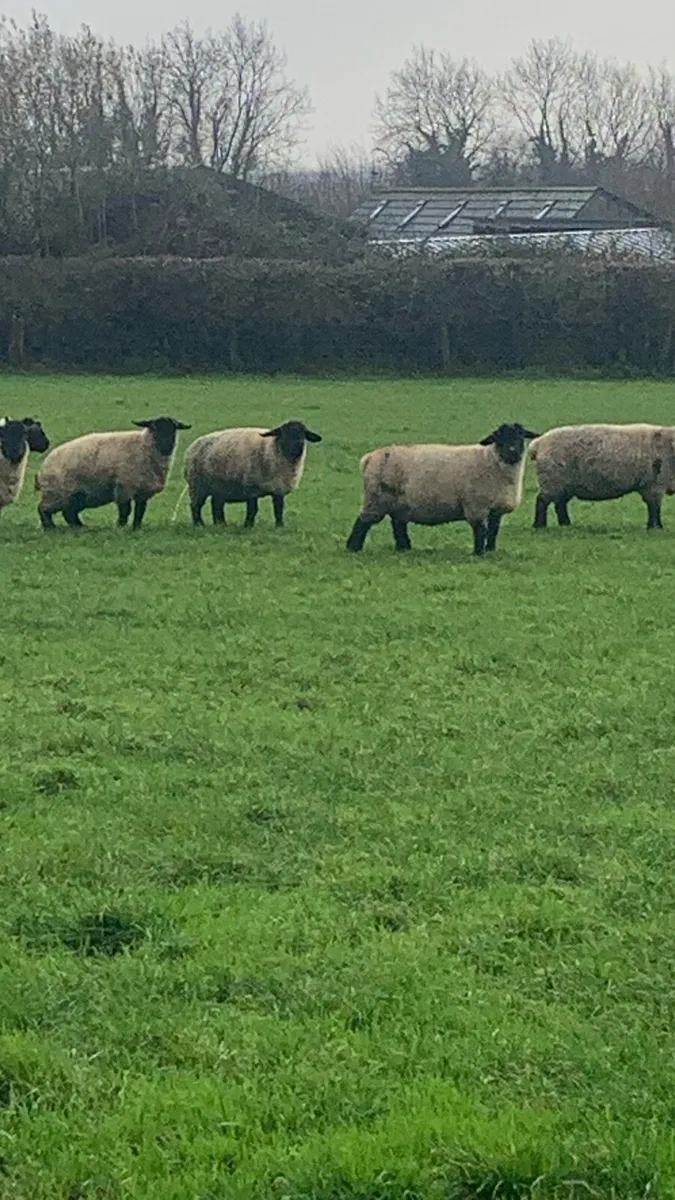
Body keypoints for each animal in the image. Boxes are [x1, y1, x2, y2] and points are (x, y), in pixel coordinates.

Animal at [36, 416, 190, 530]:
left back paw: (80, 528)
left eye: (174, 429)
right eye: (155, 428)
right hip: (56, 493)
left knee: (69, 512)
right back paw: (50, 528)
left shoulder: (143, 491)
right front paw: (120, 527)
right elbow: (125, 510)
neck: (144, 446)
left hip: (78, 495)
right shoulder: (124, 487)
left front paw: (137, 527)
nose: (167, 447)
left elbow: (140, 511)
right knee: (44, 509)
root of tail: (45, 464)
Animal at [183, 420, 322, 529]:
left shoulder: (278, 488)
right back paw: (199, 525)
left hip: (218, 487)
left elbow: (279, 509)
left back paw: (221, 525)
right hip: (197, 485)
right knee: (195, 506)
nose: (298, 445)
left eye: (303, 434)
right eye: (284, 433)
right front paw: (248, 526)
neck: (273, 449)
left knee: (216, 506)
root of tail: (193, 445)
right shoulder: (251, 487)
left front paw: (280, 526)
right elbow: (252, 509)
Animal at [345, 422, 541, 557]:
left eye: (520, 436)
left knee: (398, 525)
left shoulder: (495, 510)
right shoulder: (476, 506)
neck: (492, 460)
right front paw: (479, 553)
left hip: (398, 503)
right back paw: (353, 548)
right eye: (499, 438)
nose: (513, 451)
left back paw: (404, 548)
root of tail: (369, 458)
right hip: (376, 498)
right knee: (362, 522)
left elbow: (493, 531)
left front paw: (490, 550)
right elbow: (480, 531)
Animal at [529, 423, 675, 531]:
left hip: (563, 484)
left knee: (559, 504)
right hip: (552, 480)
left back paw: (566, 524)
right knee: (542, 501)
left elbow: (653, 507)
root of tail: (538, 443)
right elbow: (654, 507)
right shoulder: (655, 485)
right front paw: (656, 527)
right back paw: (539, 526)